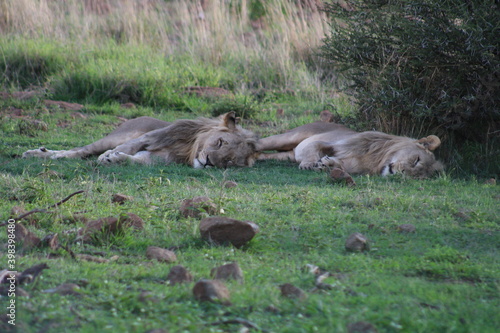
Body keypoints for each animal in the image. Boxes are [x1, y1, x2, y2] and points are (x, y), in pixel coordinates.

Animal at [256, 120, 444, 178]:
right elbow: (316, 147)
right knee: (258, 143)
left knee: (263, 154)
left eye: (417, 176)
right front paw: (310, 164)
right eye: (416, 160)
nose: (401, 172)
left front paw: (327, 164)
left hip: (287, 155)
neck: (378, 160)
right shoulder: (330, 143)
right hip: (288, 138)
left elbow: (341, 165)